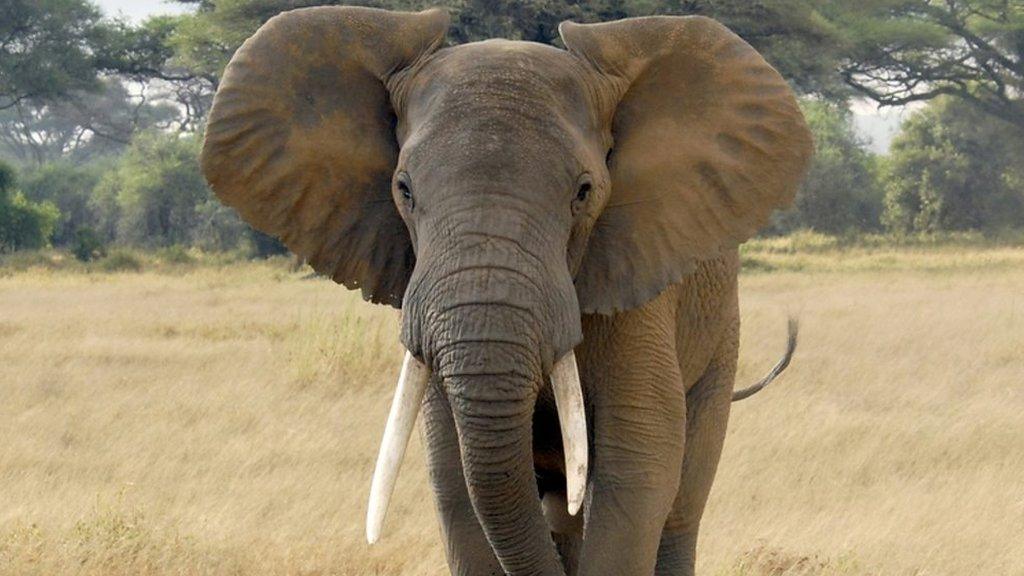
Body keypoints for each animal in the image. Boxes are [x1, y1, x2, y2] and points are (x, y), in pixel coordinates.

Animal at [197, 5, 806, 573]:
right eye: (404, 189)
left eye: (584, 192)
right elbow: (454, 479)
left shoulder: (638, 290)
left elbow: (638, 466)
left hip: (720, 342)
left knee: (679, 506)